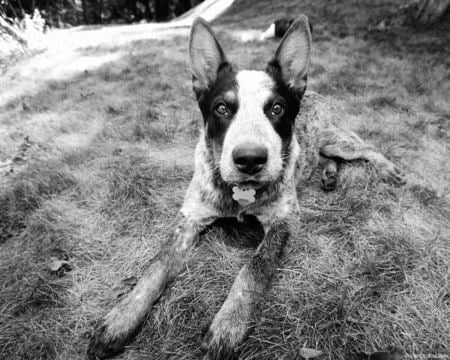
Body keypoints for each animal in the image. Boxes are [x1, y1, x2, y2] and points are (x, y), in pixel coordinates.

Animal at [86, 16, 406, 360]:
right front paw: (121, 318)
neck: (239, 194)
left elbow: (253, 271)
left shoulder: (283, 222)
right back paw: (329, 175)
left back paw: (388, 170)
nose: (250, 159)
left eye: (277, 108)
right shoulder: (189, 221)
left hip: (336, 138)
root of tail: (314, 91)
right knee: (325, 157)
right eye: (222, 108)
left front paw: (228, 324)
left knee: (364, 148)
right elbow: (155, 268)